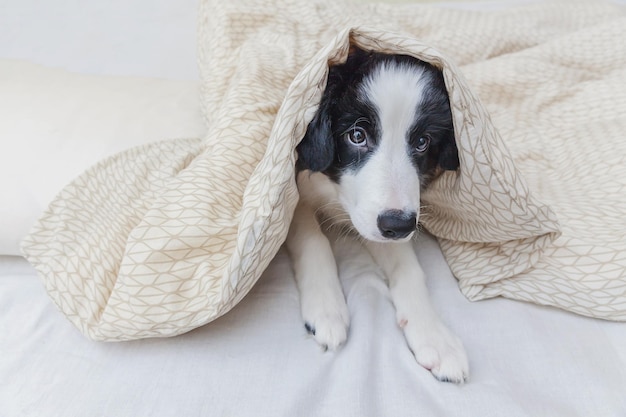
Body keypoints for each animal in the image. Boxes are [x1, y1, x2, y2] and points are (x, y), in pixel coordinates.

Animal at [286, 47, 466, 382]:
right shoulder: (293, 192)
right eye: (357, 135)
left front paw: (435, 336)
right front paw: (326, 306)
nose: (400, 226)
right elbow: (313, 238)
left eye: (422, 142)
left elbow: (409, 268)